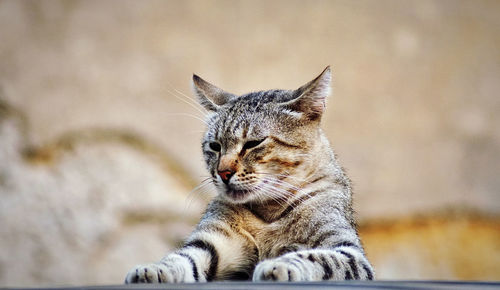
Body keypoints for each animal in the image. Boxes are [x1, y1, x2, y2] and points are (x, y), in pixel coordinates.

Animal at [125, 67, 376, 282]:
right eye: (215, 146)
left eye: (253, 143)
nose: (223, 172)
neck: (269, 213)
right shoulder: (211, 240)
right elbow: (181, 257)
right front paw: (154, 269)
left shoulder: (348, 251)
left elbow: (318, 258)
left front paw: (280, 264)